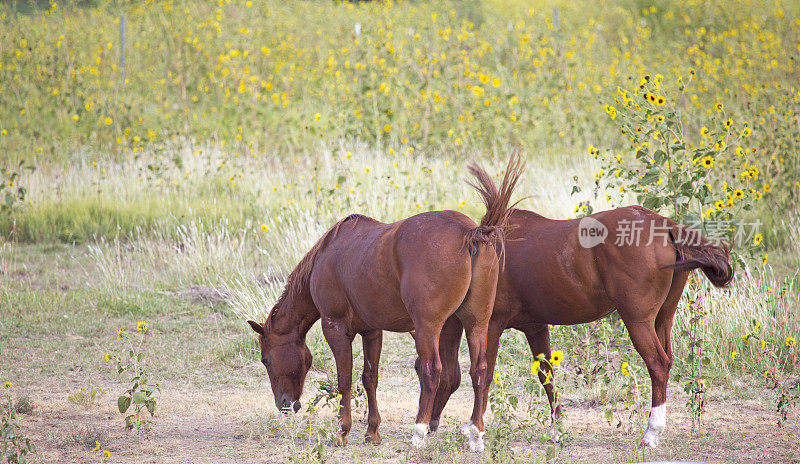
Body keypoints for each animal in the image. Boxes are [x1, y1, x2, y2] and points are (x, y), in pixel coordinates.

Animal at [248, 155, 524, 450]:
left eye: (265, 359)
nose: (285, 405)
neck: (326, 256)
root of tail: (471, 231)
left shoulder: (335, 328)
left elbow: (344, 379)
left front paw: (343, 431)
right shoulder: (372, 331)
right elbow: (370, 378)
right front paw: (372, 431)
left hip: (428, 328)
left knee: (432, 371)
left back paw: (418, 432)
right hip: (476, 323)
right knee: (480, 371)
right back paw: (476, 435)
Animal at [428, 161, 736, 448]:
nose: (429, 424)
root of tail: (665, 225)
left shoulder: (490, 324)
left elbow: (484, 372)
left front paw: (474, 431)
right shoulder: (535, 326)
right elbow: (547, 376)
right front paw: (557, 428)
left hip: (638, 320)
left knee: (658, 364)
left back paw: (651, 433)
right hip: (662, 319)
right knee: (667, 360)